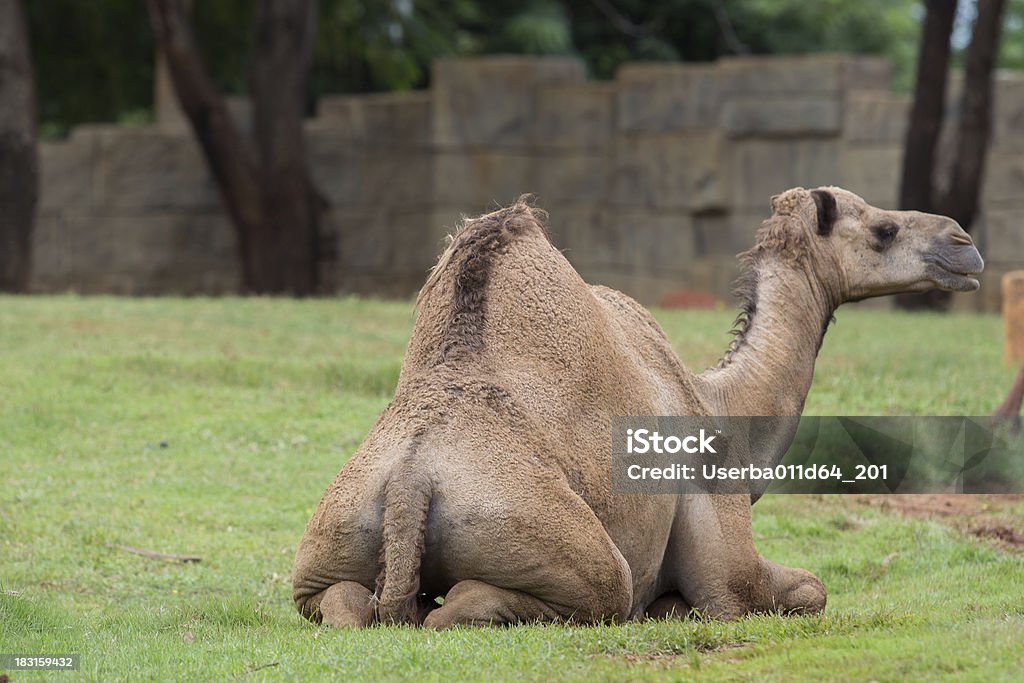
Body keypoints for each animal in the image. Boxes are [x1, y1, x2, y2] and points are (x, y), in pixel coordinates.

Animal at [290, 184, 983, 626]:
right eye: (883, 230)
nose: (963, 242)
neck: (715, 404)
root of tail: (409, 485)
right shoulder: (723, 548)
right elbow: (801, 591)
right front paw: (675, 604)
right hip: (559, 546)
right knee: (558, 599)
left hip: (323, 551)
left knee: (345, 605)